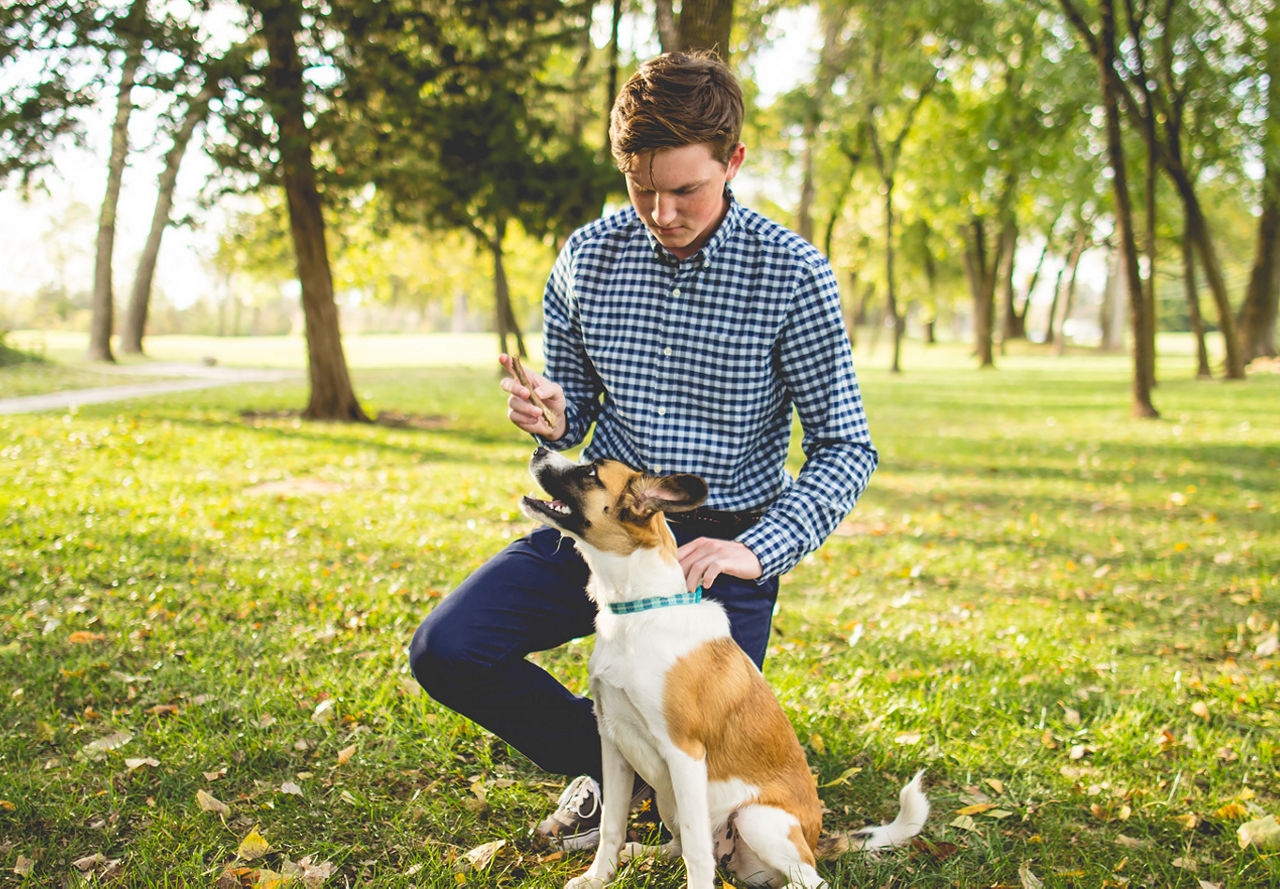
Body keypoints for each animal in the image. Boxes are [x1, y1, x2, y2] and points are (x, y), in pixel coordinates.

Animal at [519, 445, 931, 889]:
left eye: (592, 471)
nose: (538, 447)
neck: (639, 611)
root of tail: (814, 842)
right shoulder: (613, 743)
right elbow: (612, 825)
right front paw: (598, 876)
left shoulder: (684, 754)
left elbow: (698, 854)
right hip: (670, 800)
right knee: (681, 844)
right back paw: (640, 852)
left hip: (756, 819)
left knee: (801, 877)